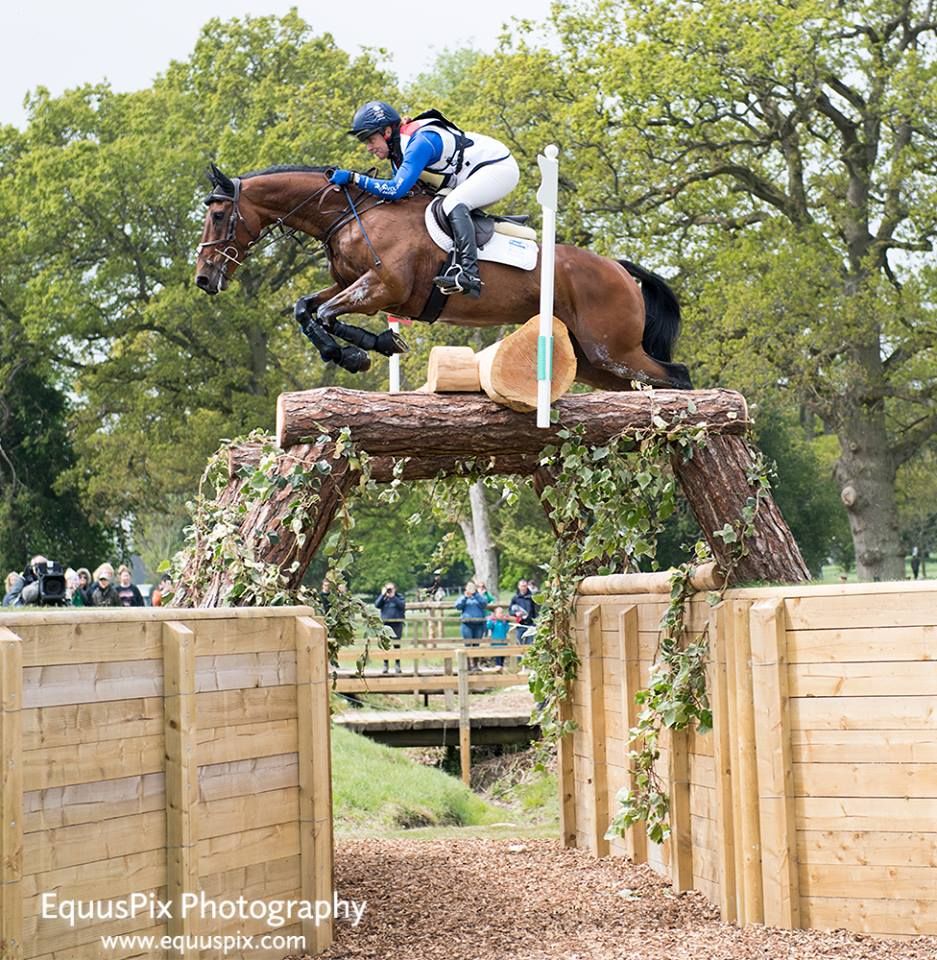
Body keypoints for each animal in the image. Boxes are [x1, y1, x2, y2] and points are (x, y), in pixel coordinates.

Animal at [196, 165, 696, 390]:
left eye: (218, 216)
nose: (203, 279)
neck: (349, 214)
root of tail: (620, 269)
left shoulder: (383, 287)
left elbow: (324, 314)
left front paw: (357, 353)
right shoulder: (354, 285)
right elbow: (308, 309)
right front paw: (371, 346)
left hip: (613, 350)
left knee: (678, 378)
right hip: (597, 362)